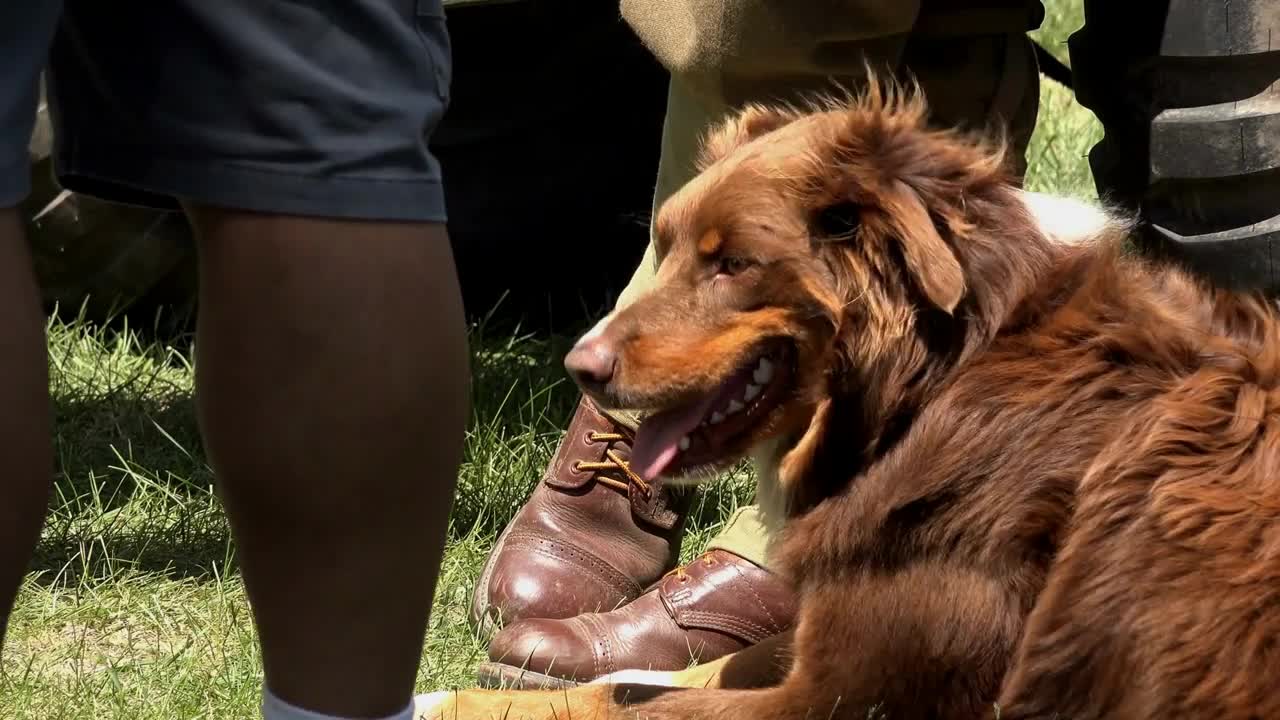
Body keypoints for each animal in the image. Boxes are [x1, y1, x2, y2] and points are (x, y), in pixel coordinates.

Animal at [419, 79, 1280, 717]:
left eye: (732, 264)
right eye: (663, 249)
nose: (579, 367)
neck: (931, 385)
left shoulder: (856, 698)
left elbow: (627, 702)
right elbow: (663, 676)